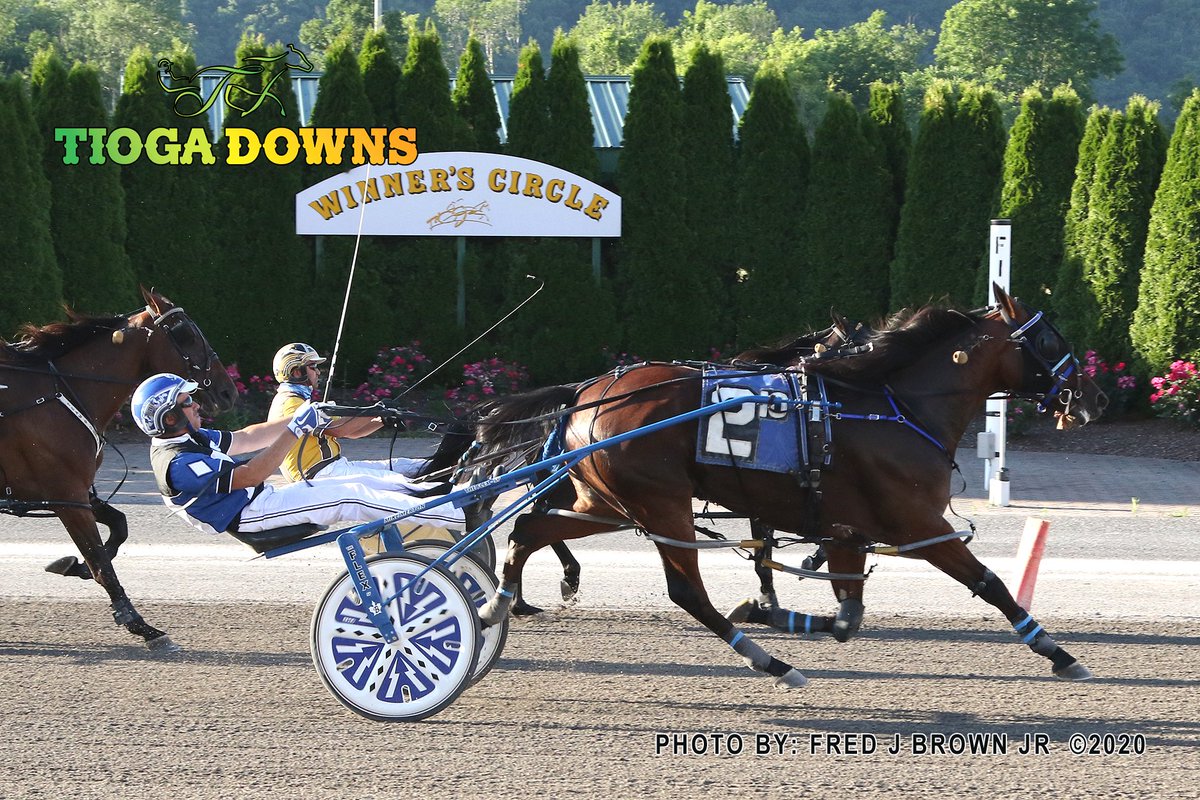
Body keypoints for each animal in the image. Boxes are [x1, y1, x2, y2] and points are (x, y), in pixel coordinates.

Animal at [0, 287, 237, 650]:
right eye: (187, 333)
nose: (228, 392)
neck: (55, 393)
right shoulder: (66, 493)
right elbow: (100, 562)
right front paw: (142, 625)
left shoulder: (75, 491)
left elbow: (118, 528)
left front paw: (72, 565)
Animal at [472, 286, 1106, 687]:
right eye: (1050, 341)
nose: (1095, 398)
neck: (892, 407)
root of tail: (587, 394)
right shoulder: (917, 522)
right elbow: (991, 584)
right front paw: (1058, 653)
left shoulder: (847, 529)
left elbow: (848, 618)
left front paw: (767, 608)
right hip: (661, 504)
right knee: (686, 594)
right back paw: (771, 663)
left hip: (607, 502)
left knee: (528, 528)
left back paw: (498, 603)